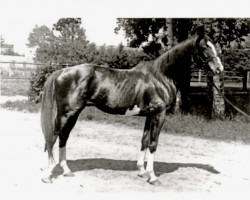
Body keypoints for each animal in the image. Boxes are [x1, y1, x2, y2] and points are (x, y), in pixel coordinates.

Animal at [40, 32, 223, 184]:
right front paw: (152, 177)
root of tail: (62, 71)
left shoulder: (150, 115)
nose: (219, 69)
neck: (161, 76)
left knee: (63, 137)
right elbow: (153, 143)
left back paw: (65, 171)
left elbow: (144, 140)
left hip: (74, 114)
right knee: (53, 137)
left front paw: (142, 171)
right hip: (66, 113)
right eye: (204, 47)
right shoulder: (159, 114)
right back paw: (48, 175)